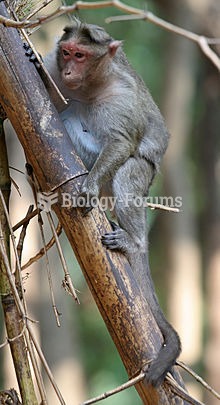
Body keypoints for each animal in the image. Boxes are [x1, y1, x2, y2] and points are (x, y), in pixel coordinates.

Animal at [26, 21, 180, 386]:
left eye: (81, 56)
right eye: (67, 53)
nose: (69, 70)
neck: (90, 86)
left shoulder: (121, 97)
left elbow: (122, 143)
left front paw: (89, 186)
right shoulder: (55, 69)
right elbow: (48, 109)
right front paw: (33, 63)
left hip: (143, 176)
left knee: (126, 173)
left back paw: (133, 241)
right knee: (68, 117)